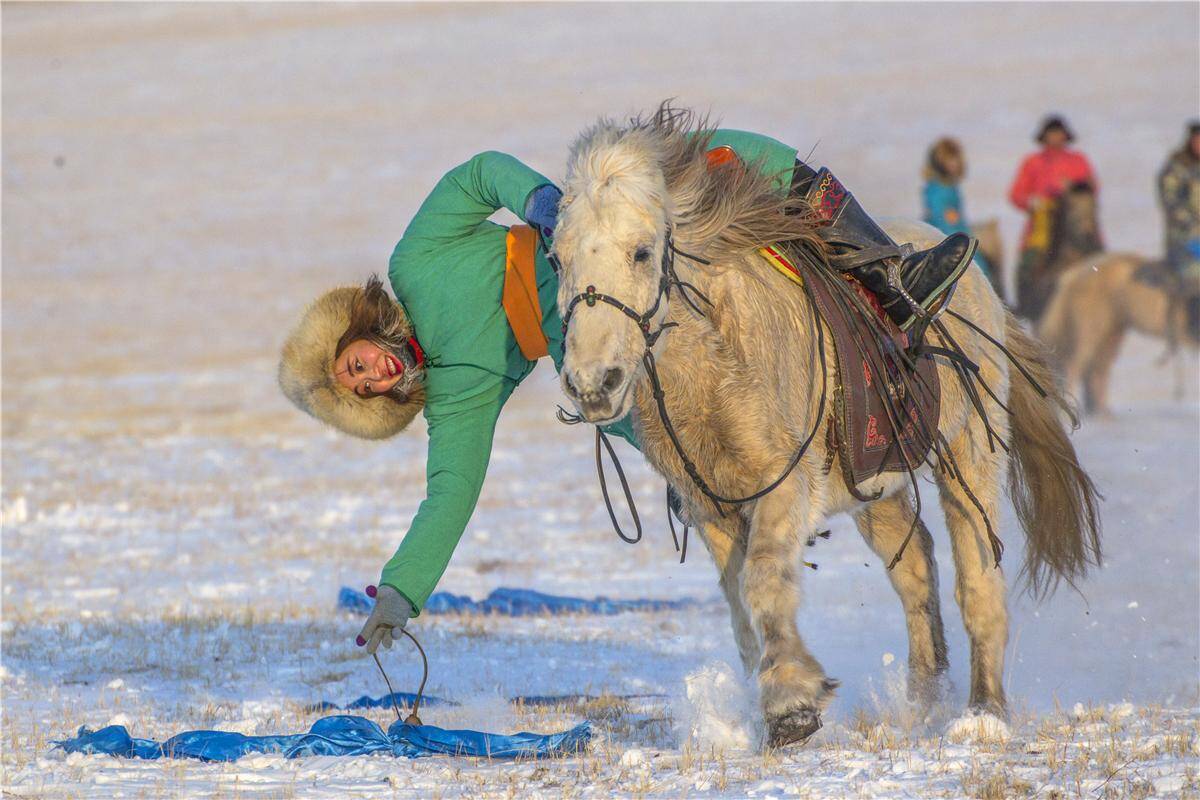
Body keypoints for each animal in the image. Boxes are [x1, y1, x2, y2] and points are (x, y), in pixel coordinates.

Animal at [551, 108, 1101, 746]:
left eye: (641, 252)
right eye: (557, 259)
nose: (594, 383)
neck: (718, 360)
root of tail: (983, 287)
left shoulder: (784, 486)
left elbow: (764, 581)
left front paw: (792, 703)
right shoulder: (711, 507)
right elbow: (741, 612)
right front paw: (773, 701)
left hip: (970, 456)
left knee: (978, 581)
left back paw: (982, 714)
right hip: (877, 485)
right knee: (915, 566)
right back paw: (923, 702)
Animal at [1038, 252, 1199, 416]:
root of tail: (1073, 274)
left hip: (1110, 334)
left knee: (1099, 370)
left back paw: (1104, 412)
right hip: (1090, 333)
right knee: (1075, 367)